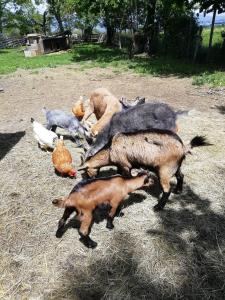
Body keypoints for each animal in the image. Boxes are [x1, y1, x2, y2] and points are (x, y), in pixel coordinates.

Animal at [79, 131, 211, 211]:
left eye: (86, 172)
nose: (89, 180)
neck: (110, 149)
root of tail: (183, 147)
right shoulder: (122, 166)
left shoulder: (125, 165)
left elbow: (127, 178)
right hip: (176, 166)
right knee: (181, 176)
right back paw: (178, 191)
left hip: (164, 170)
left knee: (167, 189)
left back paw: (158, 207)